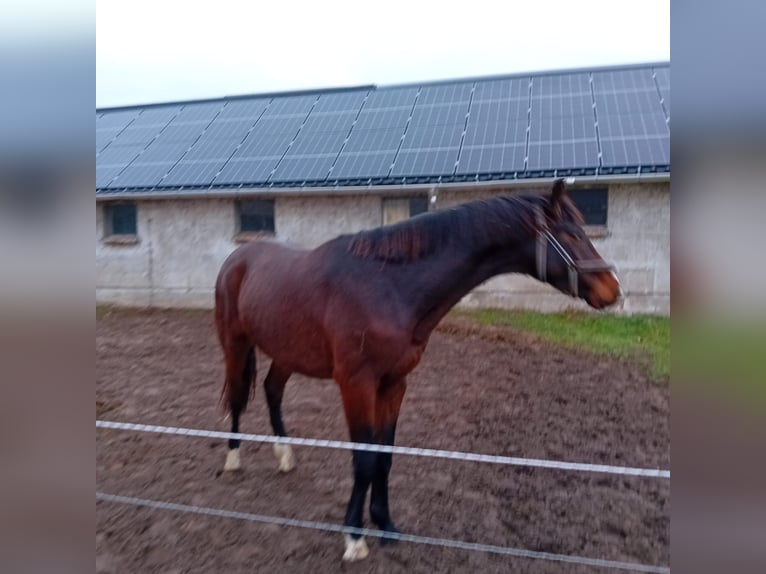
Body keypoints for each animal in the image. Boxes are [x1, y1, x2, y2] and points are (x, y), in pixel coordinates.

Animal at [213, 179, 620, 564]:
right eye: (571, 234)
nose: (612, 290)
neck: (389, 286)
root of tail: (239, 257)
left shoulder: (394, 383)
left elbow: (384, 455)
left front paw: (385, 524)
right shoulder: (356, 385)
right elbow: (364, 459)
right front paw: (354, 537)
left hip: (287, 353)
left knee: (272, 390)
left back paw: (285, 456)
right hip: (236, 345)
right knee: (237, 395)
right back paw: (232, 458)